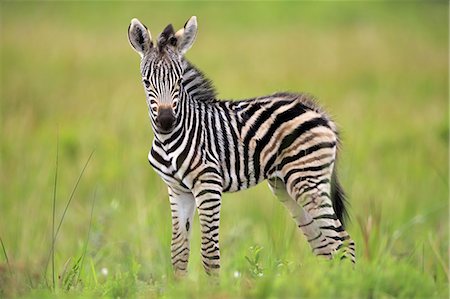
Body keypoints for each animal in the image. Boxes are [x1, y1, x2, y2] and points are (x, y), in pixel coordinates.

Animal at [126, 15, 356, 276]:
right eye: (146, 82)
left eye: (178, 81)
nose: (165, 122)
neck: (169, 140)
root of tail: (317, 110)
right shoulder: (177, 191)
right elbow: (179, 254)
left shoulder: (209, 186)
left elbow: (209, 253)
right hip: (286, 186)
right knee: (325, 246)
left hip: (308, 180)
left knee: (343, 242)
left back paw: (347, 283)